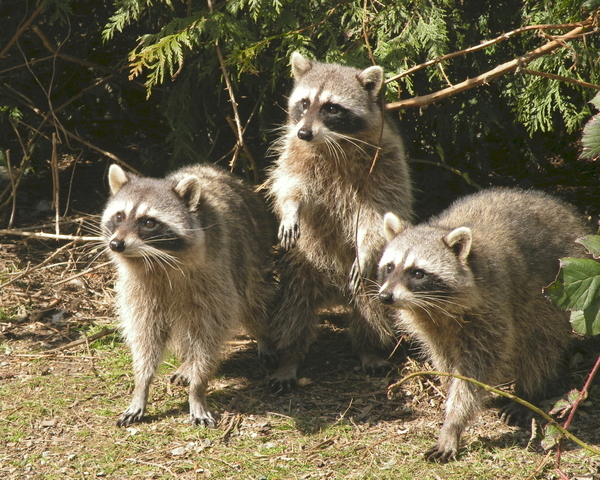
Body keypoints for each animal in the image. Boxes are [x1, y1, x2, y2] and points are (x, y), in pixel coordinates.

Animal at [101, 164, 276, 428]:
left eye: (149, 222)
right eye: (119, 217)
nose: (116, 244)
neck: (156, 260)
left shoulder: (215, 279)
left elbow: (208, 336)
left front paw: (198, 388)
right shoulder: (139, 289)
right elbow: (145, 337)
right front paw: (141, 385)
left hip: (251, 254)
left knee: (252, 302)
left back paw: (263, 336)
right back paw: (187, 363)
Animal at [264, 52, 414, 392]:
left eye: (332, 108)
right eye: (304, 103)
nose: (304, 132)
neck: (333, 144)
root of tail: (332, 295)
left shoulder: (385, 163)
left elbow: (377, 216)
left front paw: (365, 249)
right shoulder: (294, 153)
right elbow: (290, 185)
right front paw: (290, 209)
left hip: (369, 279)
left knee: (370, 304)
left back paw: (369, 348)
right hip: (301, 264)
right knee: (293, 309)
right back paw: (289, 357)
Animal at [378, 188, 592, 462]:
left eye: (418, 273)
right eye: (390, 267)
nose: (385, 297)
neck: (436, 308)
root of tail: (564, 209)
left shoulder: (490, 309)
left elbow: (475, 371)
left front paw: (454, 421)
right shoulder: (430, 324)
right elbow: (443, 357)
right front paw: (448, 386)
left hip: (554, 290)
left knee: (540, 344)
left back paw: (528, 393)